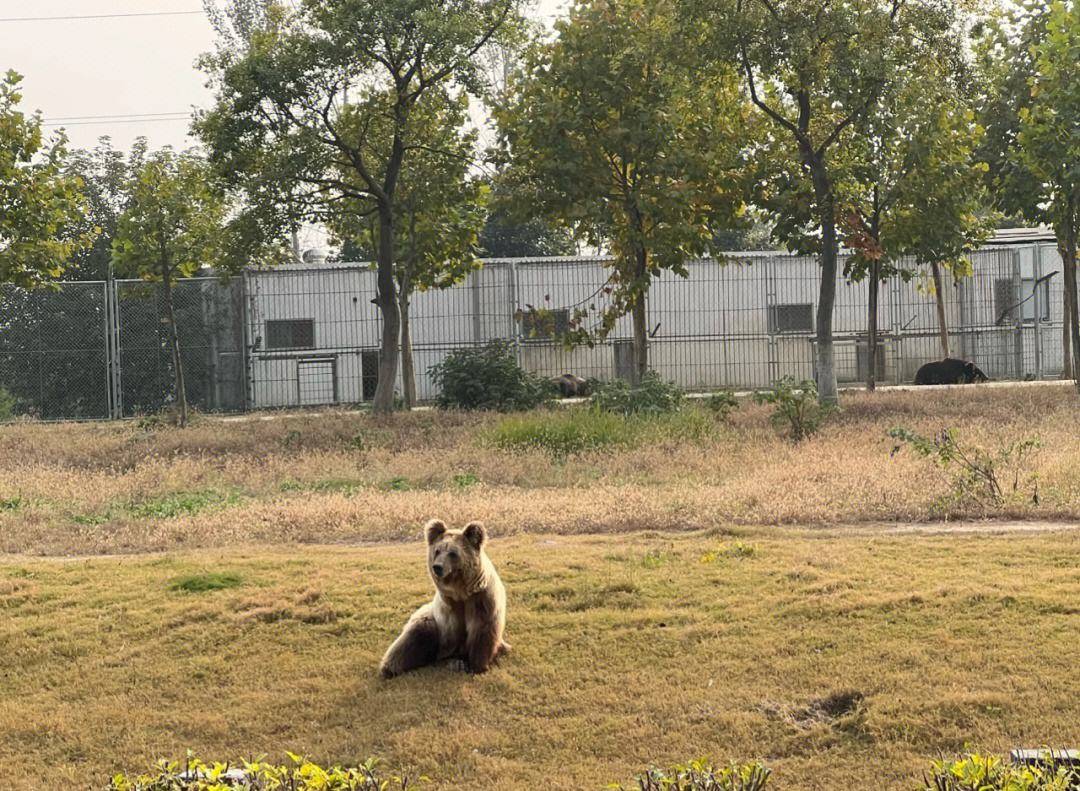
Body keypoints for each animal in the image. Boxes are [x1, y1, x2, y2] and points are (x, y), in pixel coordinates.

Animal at [379, 519, 509, 678]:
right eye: (437, 551)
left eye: (452, 553)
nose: (437, 567)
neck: (461, 591)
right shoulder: (448, 609)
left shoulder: (481, 599)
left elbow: (482, 630)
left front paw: (477, 666)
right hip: (429, 621)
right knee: (411, 640)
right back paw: (389, 668)